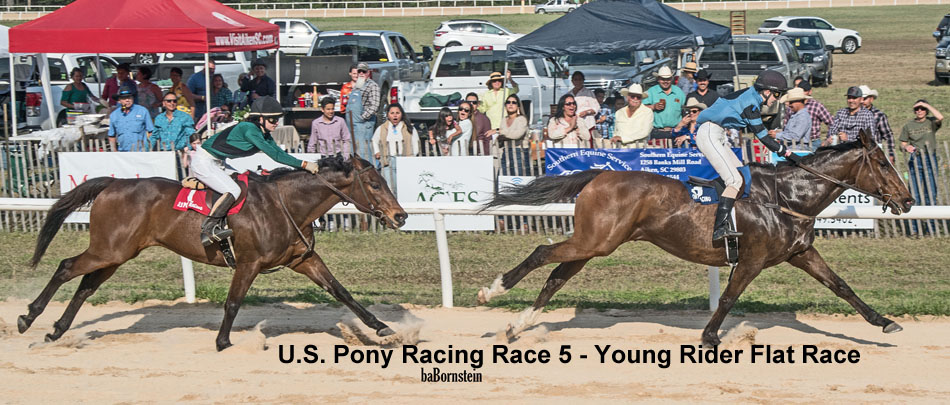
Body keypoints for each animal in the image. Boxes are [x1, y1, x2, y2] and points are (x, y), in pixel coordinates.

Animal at [16, 155, 408, 350]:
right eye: (374, 184)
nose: (400, 216)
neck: (286, 205)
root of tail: (114, 183)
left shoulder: (303, 259)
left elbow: (342, 292)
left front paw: (382, 328)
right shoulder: (249, 263)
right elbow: (233, 303)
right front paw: (222, 341)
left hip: (118, 253)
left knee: (86, 286)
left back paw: (57, 330)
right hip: (108, 249)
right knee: (66, 267)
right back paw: (29, 317)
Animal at [480, 130, 920, 344]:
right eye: (883, 163)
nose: (908, 199)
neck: (788, 197)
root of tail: (601, 174)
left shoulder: (801, 253)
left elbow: (842, 286)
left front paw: (885, 323)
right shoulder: (752, 259)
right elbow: (728, 297)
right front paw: (710, 336)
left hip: (595, 244)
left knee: (556, 277)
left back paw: (517, 326)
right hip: (595, 242)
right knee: (542, 252)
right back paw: (493, 290)